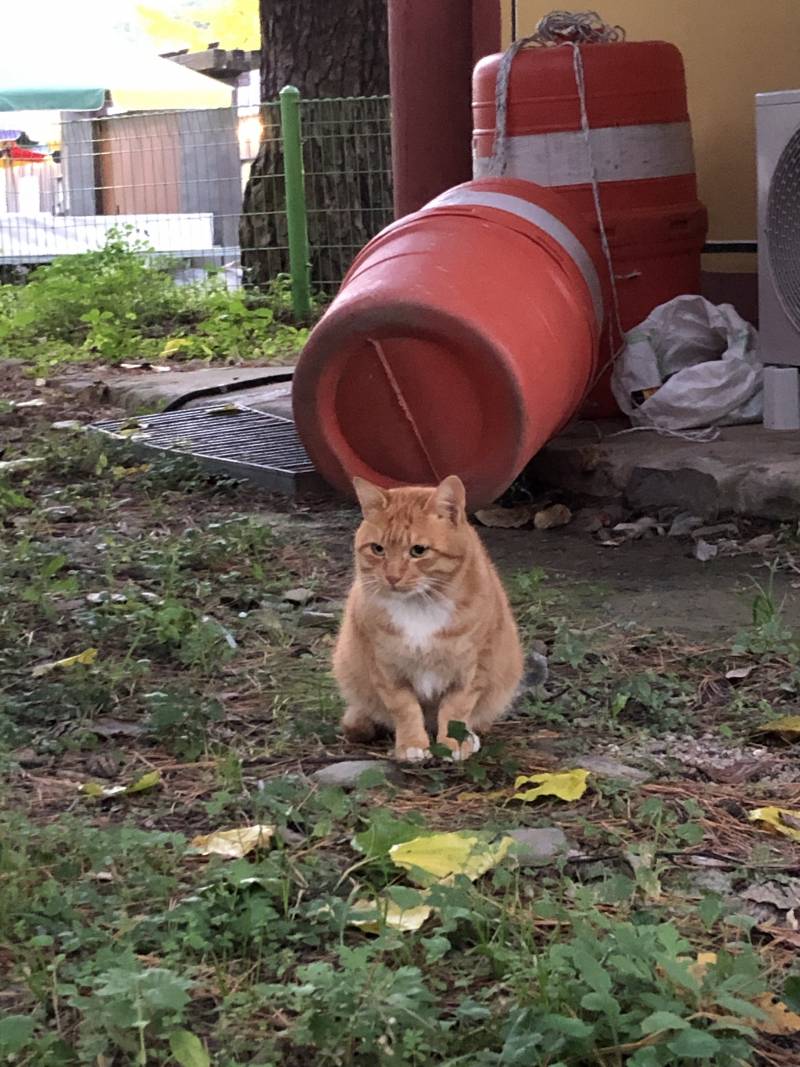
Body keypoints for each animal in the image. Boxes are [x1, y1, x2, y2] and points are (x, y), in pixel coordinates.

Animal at [332, 473, 526, 759]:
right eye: (378, 549)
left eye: (418, 551)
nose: (392, 577)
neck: (420, 607)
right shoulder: (386, 669)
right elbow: (405, 709)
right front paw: (412, 744)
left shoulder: (473, 669)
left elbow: (456, 709)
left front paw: (454, 742)